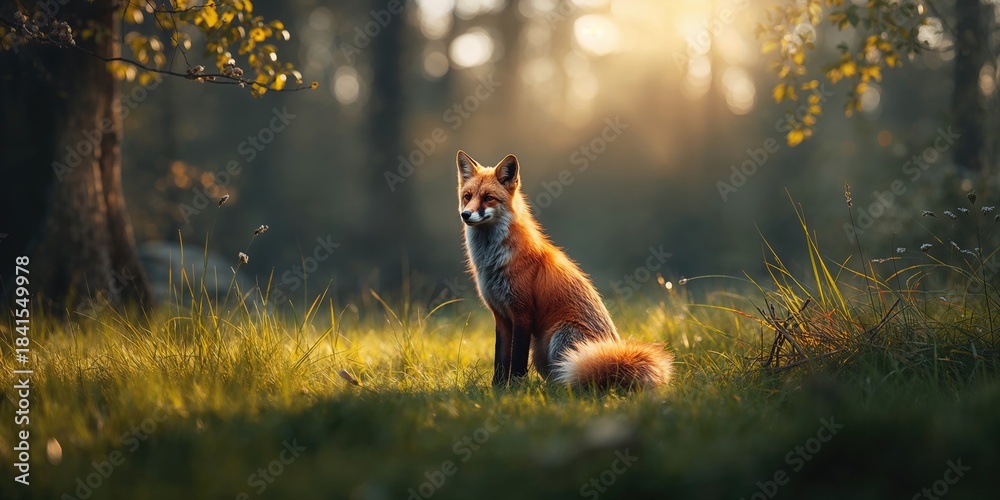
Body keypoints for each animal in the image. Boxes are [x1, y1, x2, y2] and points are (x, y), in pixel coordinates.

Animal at [456, 150, 674, 390]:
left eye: (488, 198)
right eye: (467, 196)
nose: (465, 214)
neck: (492, 262)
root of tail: (614, 350)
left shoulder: (522, 312)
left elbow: (518, 361)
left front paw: (516, 388)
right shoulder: (501, 316)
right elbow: (500, 360)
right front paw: (497, 389)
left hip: (560, 336)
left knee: (571, 377)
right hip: (540, 350)